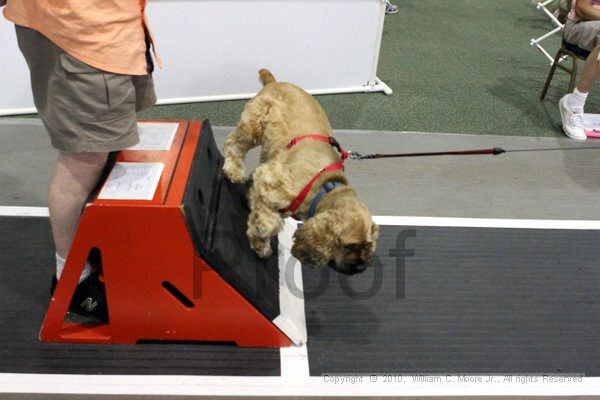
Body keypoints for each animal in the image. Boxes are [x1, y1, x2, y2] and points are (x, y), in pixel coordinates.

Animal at [223, 69, 378, 276]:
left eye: (367, 245)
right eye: (349, 245)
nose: (361, 267)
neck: (324, 186)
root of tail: (274, 82)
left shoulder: (269, 175)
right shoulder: (271, 182)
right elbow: (267, 223)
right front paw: (260, 243)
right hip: (252, 128)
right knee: (233, 143)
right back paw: (233, 170)